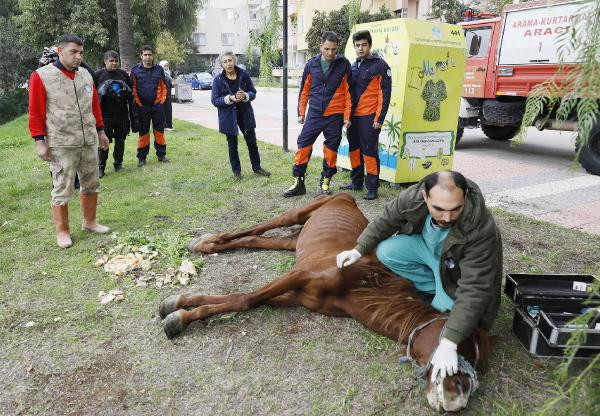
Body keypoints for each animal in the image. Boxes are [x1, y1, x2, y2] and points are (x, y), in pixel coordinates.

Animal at [159, 193, 492, 412]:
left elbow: (242, 299)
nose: (460, 397)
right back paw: (206, 242)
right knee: (258, 228)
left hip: (294, 242)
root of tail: (347, 196)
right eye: (460, 344)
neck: (362, 283)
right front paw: (178, 316)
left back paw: (205, 245)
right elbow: (243, 299)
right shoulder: (299, 276)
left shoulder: (295, 295)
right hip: (300, 214)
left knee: (257, 240)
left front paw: (179, 306)